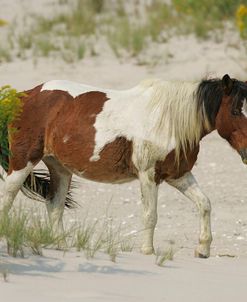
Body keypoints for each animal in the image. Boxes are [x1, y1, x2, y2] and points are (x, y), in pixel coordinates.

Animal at [0, 73, 247, 258]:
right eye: (235, 111)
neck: (168, 120)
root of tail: (25, 95)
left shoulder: (178, 175)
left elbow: (204, 204)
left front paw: (203, 249)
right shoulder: (148, 175)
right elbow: (150, 215)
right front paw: (147, 252)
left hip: (60, 168)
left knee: (54, 206)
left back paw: (60, 246)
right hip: (23, 162)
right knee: (7, 198)